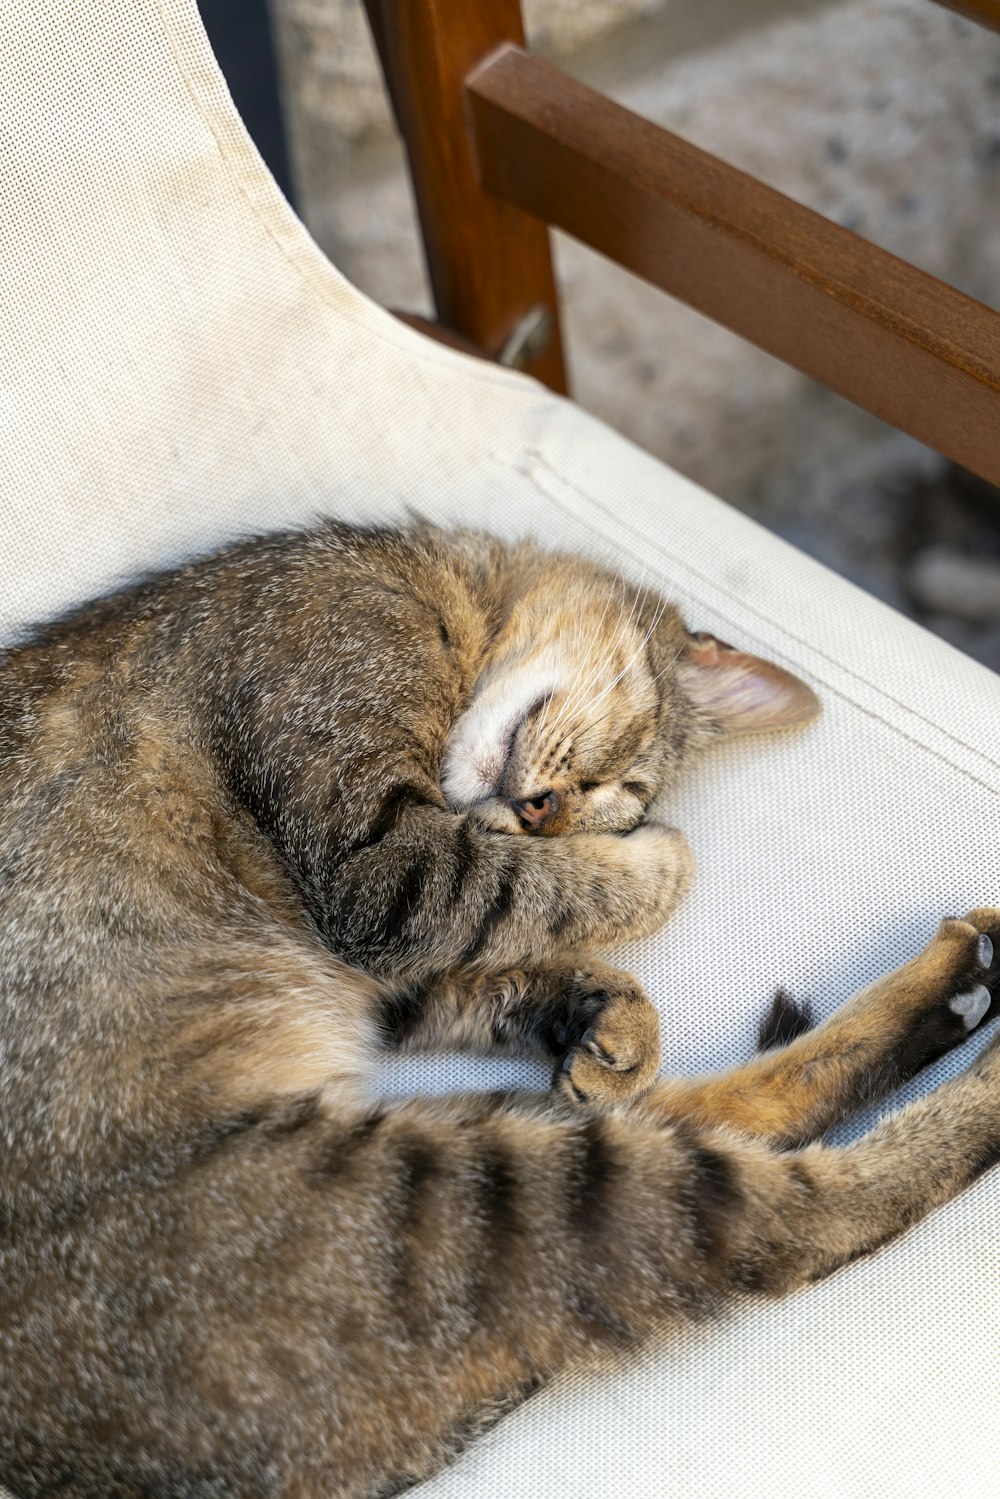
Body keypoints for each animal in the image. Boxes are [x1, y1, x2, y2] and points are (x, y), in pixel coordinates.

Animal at [1, 518, 1000, 1499]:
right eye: (625, 783)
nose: (543, 808)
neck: (446, 596)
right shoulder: (381, 868)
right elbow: (540, 887)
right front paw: (652, 868)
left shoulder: (381, 947)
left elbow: (501, 946)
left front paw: (601, 1009)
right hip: (473, 1191)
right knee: (811, 1213)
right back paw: (974, 1022)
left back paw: (957, 986)